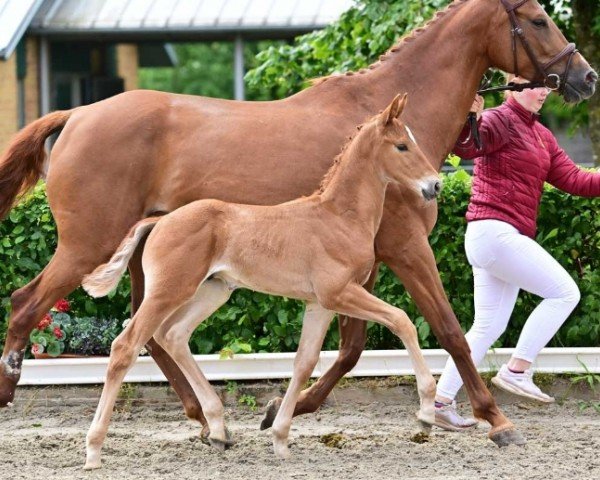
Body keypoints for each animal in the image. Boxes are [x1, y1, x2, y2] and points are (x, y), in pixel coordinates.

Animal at [81, 95, 440, 466]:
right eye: (402, 145)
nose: (435, 185)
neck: (339, 217)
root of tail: (159, 222)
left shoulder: (320, 303)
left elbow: (304, 362)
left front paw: (280, 438)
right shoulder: (340, 293)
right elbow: (402, 320)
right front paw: (427, 413)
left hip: (212, 292)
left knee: (173, 335)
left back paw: (219, 430)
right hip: (169, 292)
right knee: (126, 346)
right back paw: (94, 449)